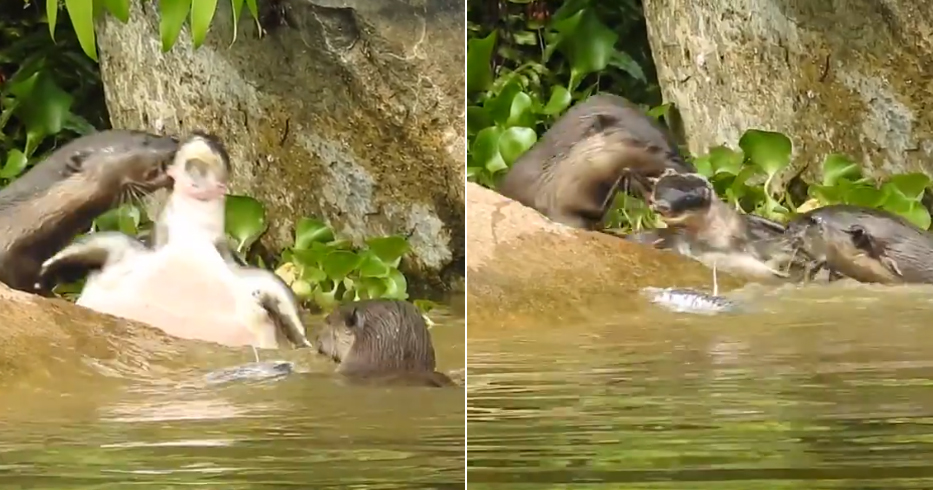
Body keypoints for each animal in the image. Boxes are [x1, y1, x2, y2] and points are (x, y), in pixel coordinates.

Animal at [37, 133, 312, 353]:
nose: (202, 135)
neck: (189, 240)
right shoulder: (124, 250)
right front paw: (44, 273)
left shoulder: (249, 278)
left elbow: (281, 291)